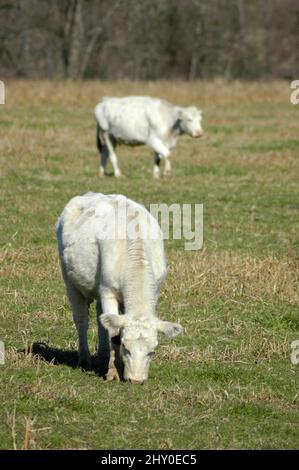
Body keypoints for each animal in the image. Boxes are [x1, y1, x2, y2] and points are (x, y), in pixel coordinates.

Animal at [56, 193, 183, 384]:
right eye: (126, 348)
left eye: (151, 352)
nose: (136, 381)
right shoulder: (108, 291)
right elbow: (114, 333)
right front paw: (114, 371)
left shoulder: (154, 290)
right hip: (70, 283)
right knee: (81, 321)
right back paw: (85, 359)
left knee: (101, 319)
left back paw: (102, 355)